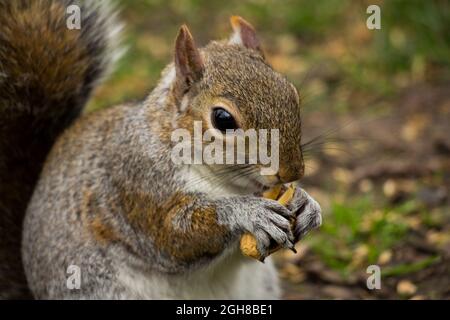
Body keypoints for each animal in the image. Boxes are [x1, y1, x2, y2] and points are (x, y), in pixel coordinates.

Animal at [1, 0, 322, 300]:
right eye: (223, 119)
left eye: (292, 93)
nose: (292, 171)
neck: (226, 184)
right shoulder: (136, 185)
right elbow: (173, 235)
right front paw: (247, 212)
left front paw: (307, 203)